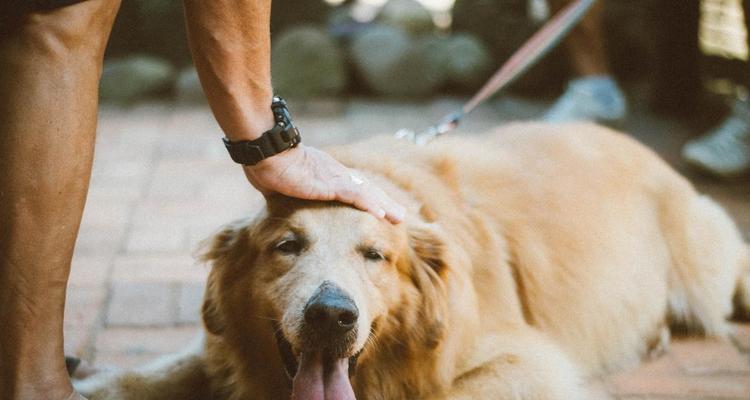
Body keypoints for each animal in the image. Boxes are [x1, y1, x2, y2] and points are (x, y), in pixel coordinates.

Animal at [76, 122, 750, 400]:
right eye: (287, 246)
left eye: (376, 255)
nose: (331, 316)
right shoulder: (227, 349)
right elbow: (161, 371)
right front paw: (91, 381)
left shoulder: (526, 364)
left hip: (708, 265)